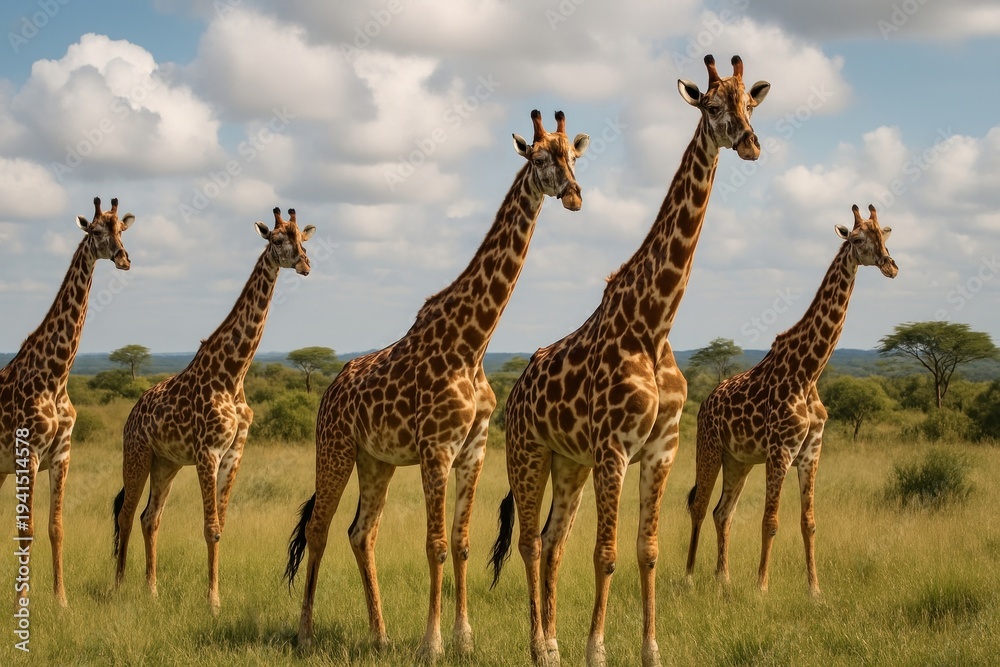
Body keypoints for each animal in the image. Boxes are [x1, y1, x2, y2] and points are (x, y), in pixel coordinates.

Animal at [0, 197, 135, 606]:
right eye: (96, 230)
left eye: (122, 230)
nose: (124, 259)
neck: (56, 376)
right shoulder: (27, 453)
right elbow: (25, 528)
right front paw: (21, 600)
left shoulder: (62, 454)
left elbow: (55, 527)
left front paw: (61, 599)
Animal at [112, 207, 314, 612]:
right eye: (277, 239)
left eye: (303, 238)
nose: (305, 264)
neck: (233, 375)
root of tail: (132, 413)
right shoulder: (208, 452)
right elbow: (210, 528)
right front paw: (213, 602)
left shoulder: (235, 452)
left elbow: (221, 527)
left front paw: (214, 598)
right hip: (137, 454)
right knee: (126, 515)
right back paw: (120, 587)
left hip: (166, 463)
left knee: (149, 518)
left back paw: (152, 590)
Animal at [284, 110, 589, 661]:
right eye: (539, 158)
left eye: (574, 157)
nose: (575, 195)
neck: (473, 345)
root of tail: (330, 390)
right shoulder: (436, 447)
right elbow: (436, 544)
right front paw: (433, 644)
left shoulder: (474, 447)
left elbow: (462, 543)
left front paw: (465, 640)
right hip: (334, 447)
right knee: (318, 530)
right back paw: (305, 633)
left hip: (376, 460)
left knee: (360, 533)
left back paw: (380, 635)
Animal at [488, 56, 770, 667]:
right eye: (713, 105)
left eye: (751, 105)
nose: (751, 144)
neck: (654, 324)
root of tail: (515, 389)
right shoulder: (614, 448)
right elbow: (607, 553)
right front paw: (596, 650)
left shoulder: (661, 449)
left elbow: (647, 551)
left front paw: (651, 649)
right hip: (527, 452)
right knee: (528, 543)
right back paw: (538, 646)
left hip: (570, 463)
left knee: (551, 541)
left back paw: (552, 642)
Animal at [685, 204, 897, 596]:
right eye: (857, 239)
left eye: (885, 235)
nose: (891, 266)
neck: (809, 372)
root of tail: (705, 402)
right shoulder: (780, 450)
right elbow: (770, 520)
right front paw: (761, 588)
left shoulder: (811, 451)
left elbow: (808, 522)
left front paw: (815, 590)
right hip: (708, 448)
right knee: (700, 506)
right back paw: (690, 577)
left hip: (738, 460)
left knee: (723, 512)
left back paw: (724, 578)